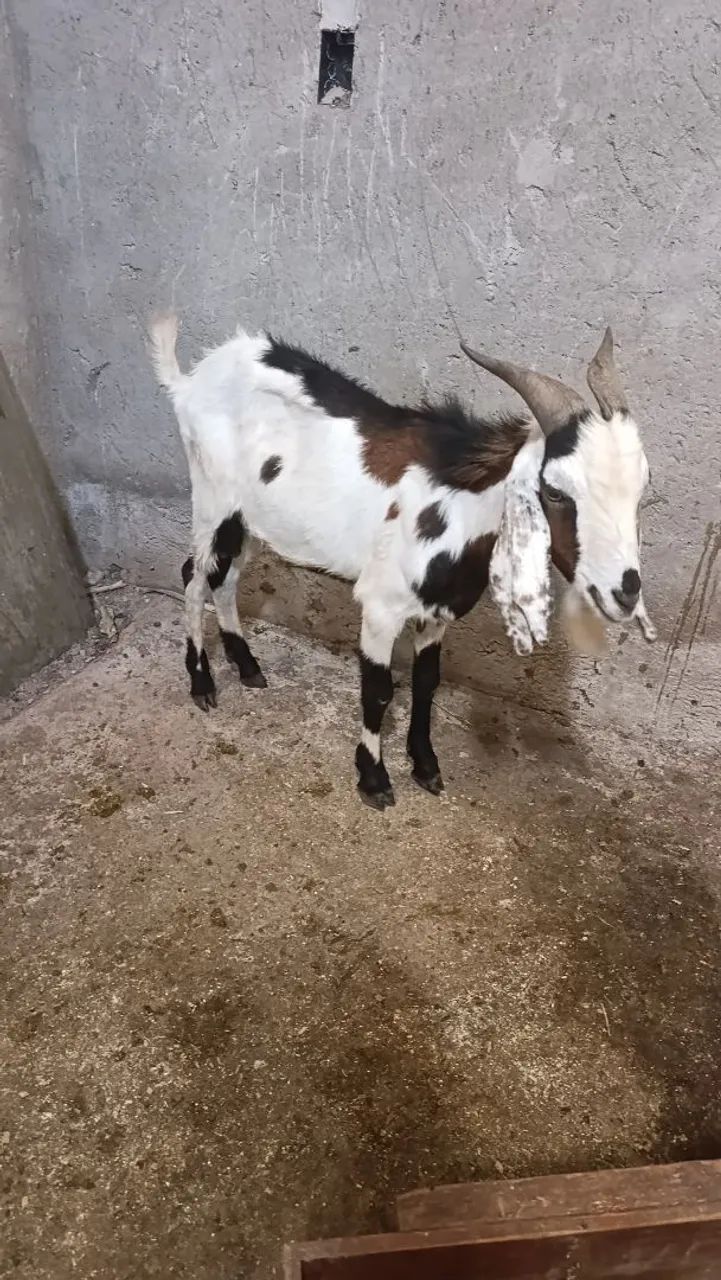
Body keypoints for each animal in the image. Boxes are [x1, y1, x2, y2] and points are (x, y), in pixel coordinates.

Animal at [150, 316, 655, 809]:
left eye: (641, 488)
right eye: (554, 492)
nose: (625, 590)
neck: (458, 509)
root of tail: (190, 380)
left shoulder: (436, 613)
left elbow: (426, 682)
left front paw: (426, 765)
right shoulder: (380, 607)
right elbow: (378, 689)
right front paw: (373, 779)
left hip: (251, 520)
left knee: (225, 578)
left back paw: (248, 666)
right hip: (212, 499)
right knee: (194, 576)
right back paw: (202, 684)